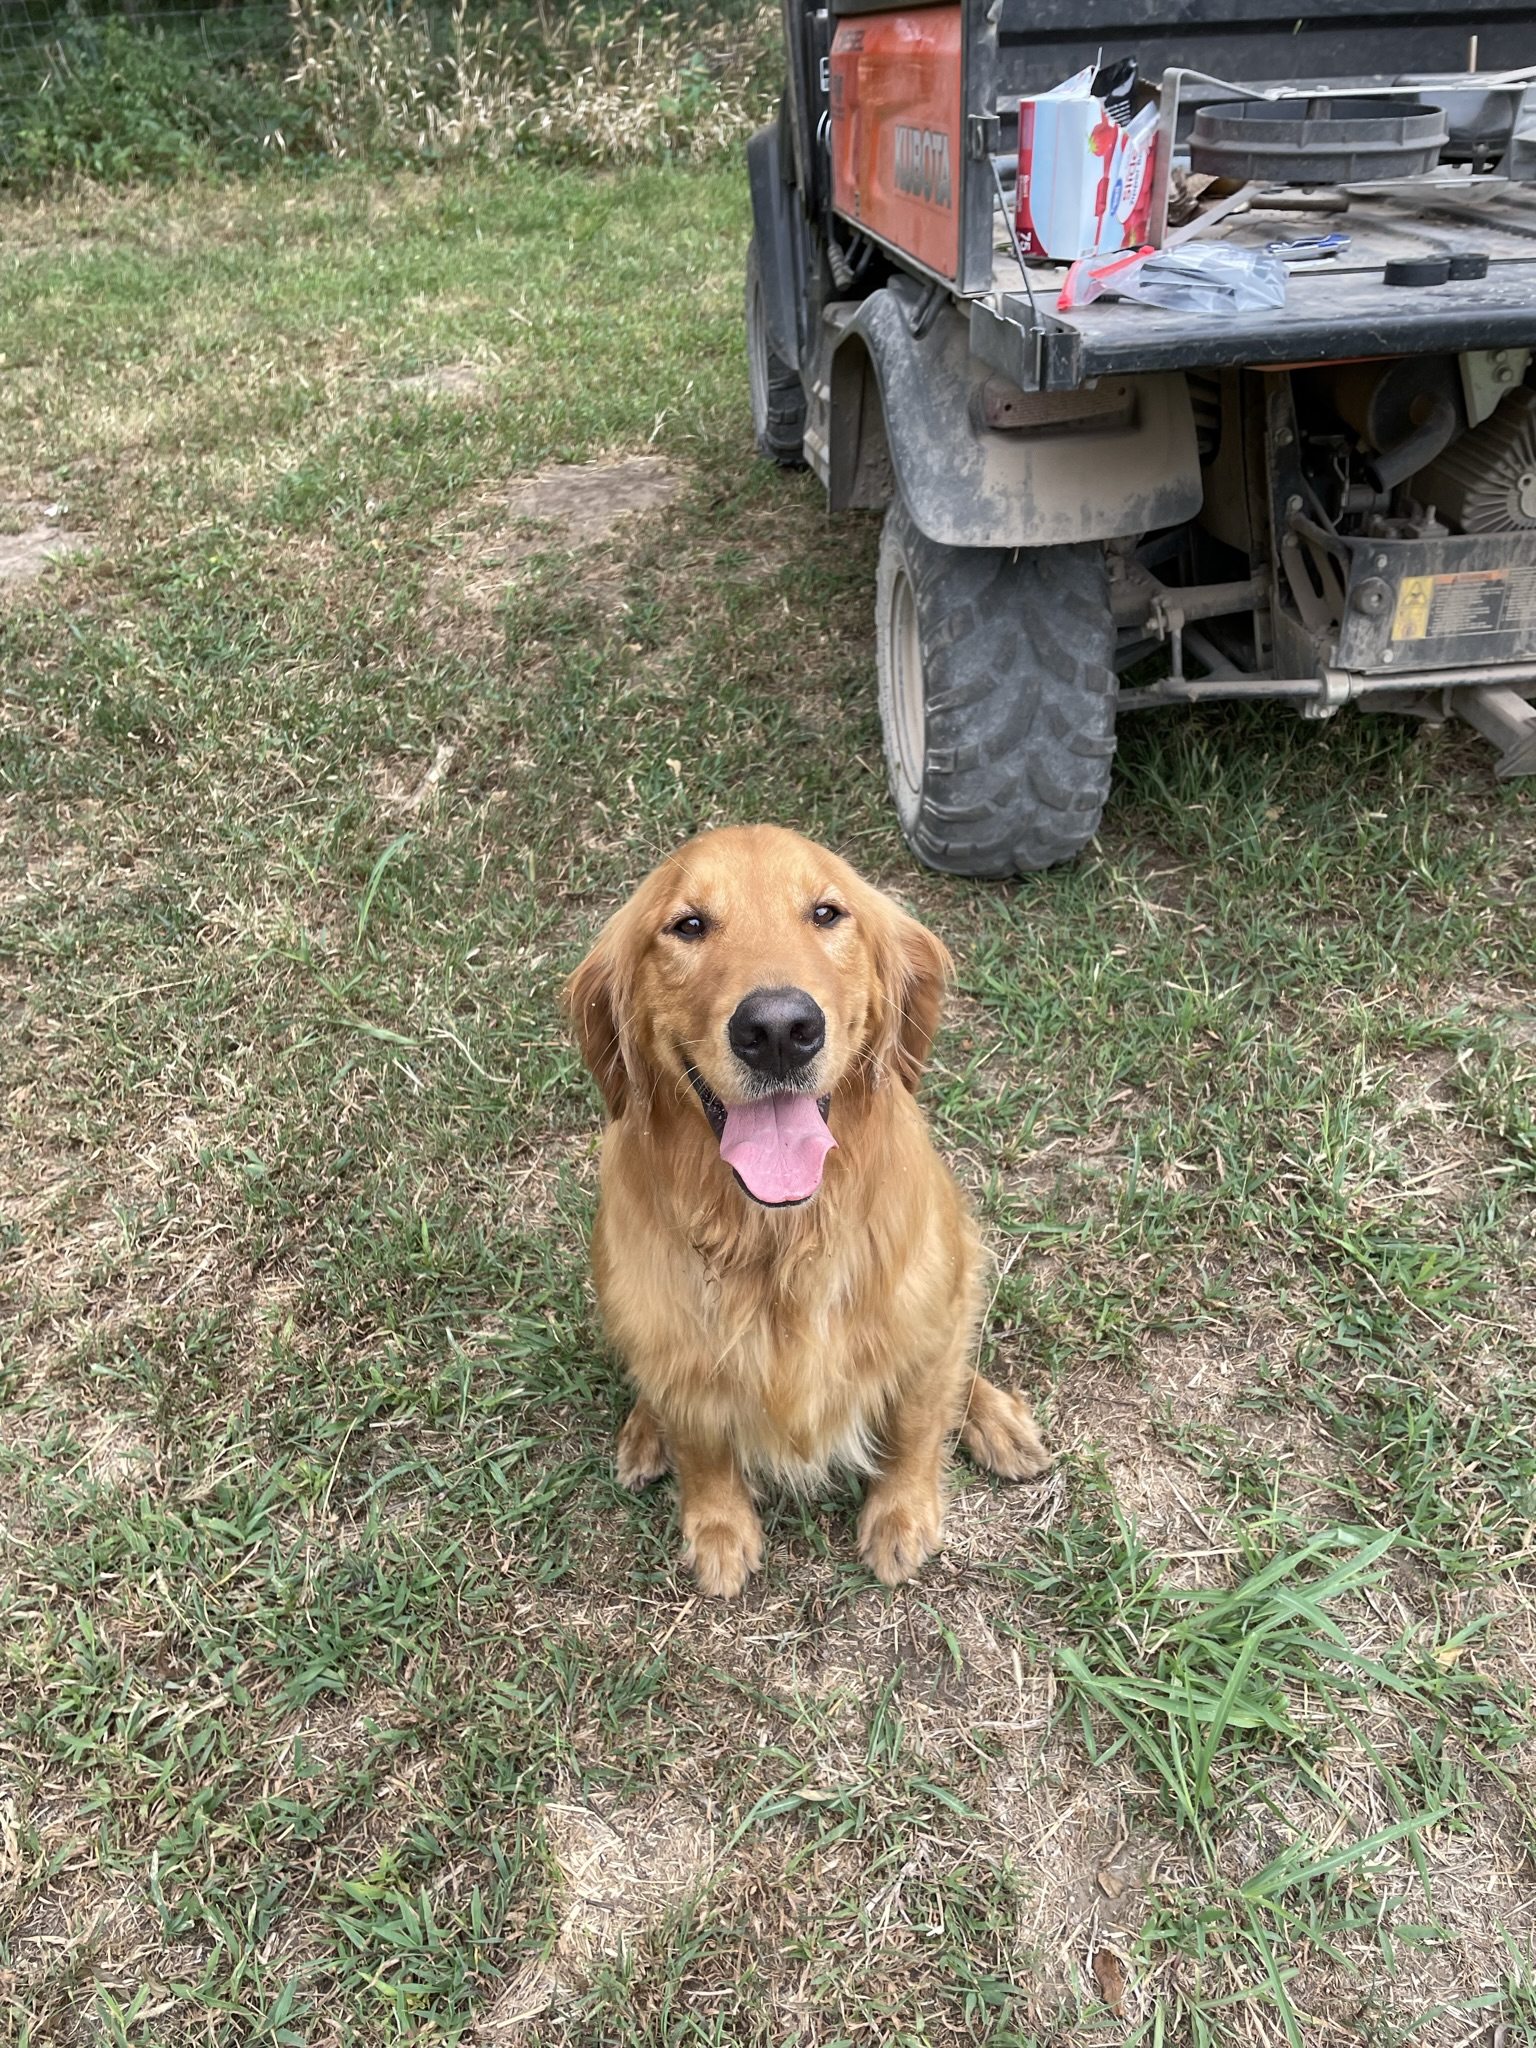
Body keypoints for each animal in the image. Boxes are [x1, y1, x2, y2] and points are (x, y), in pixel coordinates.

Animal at [563, 825, 1049, 1597]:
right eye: (688, 925)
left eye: (826, 913)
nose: (778, 1029)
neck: (775, 1236)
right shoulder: (677, 1343)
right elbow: (702, 1443)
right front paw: (718, 1530)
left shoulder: (922, 1312)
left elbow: (916, 1422)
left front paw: (902, 1515)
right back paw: (644, 1433)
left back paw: (997, 1421)